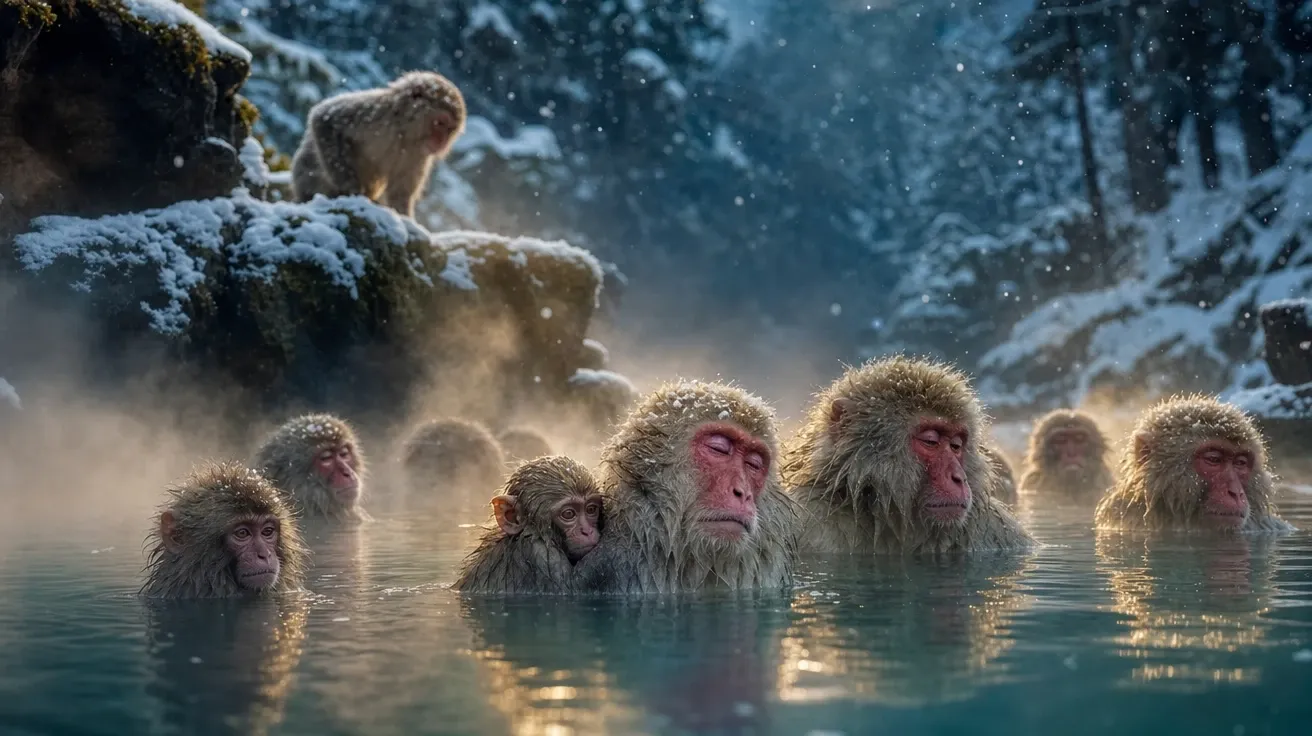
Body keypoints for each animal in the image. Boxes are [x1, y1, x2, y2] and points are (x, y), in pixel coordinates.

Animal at [290, 71, 467, 218]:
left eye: (450, 129)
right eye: (440, 123)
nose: (442, 142)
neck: (404, 133)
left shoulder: (418, 155)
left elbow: (400, 193)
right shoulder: (374, 113)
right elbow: (325, 119)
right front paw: (352, 189)